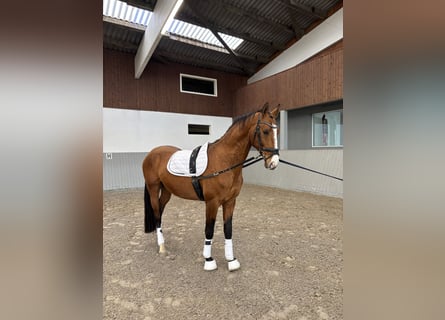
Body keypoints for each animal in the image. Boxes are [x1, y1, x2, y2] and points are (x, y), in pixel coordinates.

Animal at [142, 102, 280, 270]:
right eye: (266, 131)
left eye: (277, 131)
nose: (274, 162)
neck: (224, 161)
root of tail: (151, 153)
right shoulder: (212, 203)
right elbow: (209, 230)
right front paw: (209, 260)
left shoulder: (230, 202)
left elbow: (228, 229)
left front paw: (231, 260)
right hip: (153, 189)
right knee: (156, 213)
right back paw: (162, 247)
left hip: (167, 191)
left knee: (160, 213)